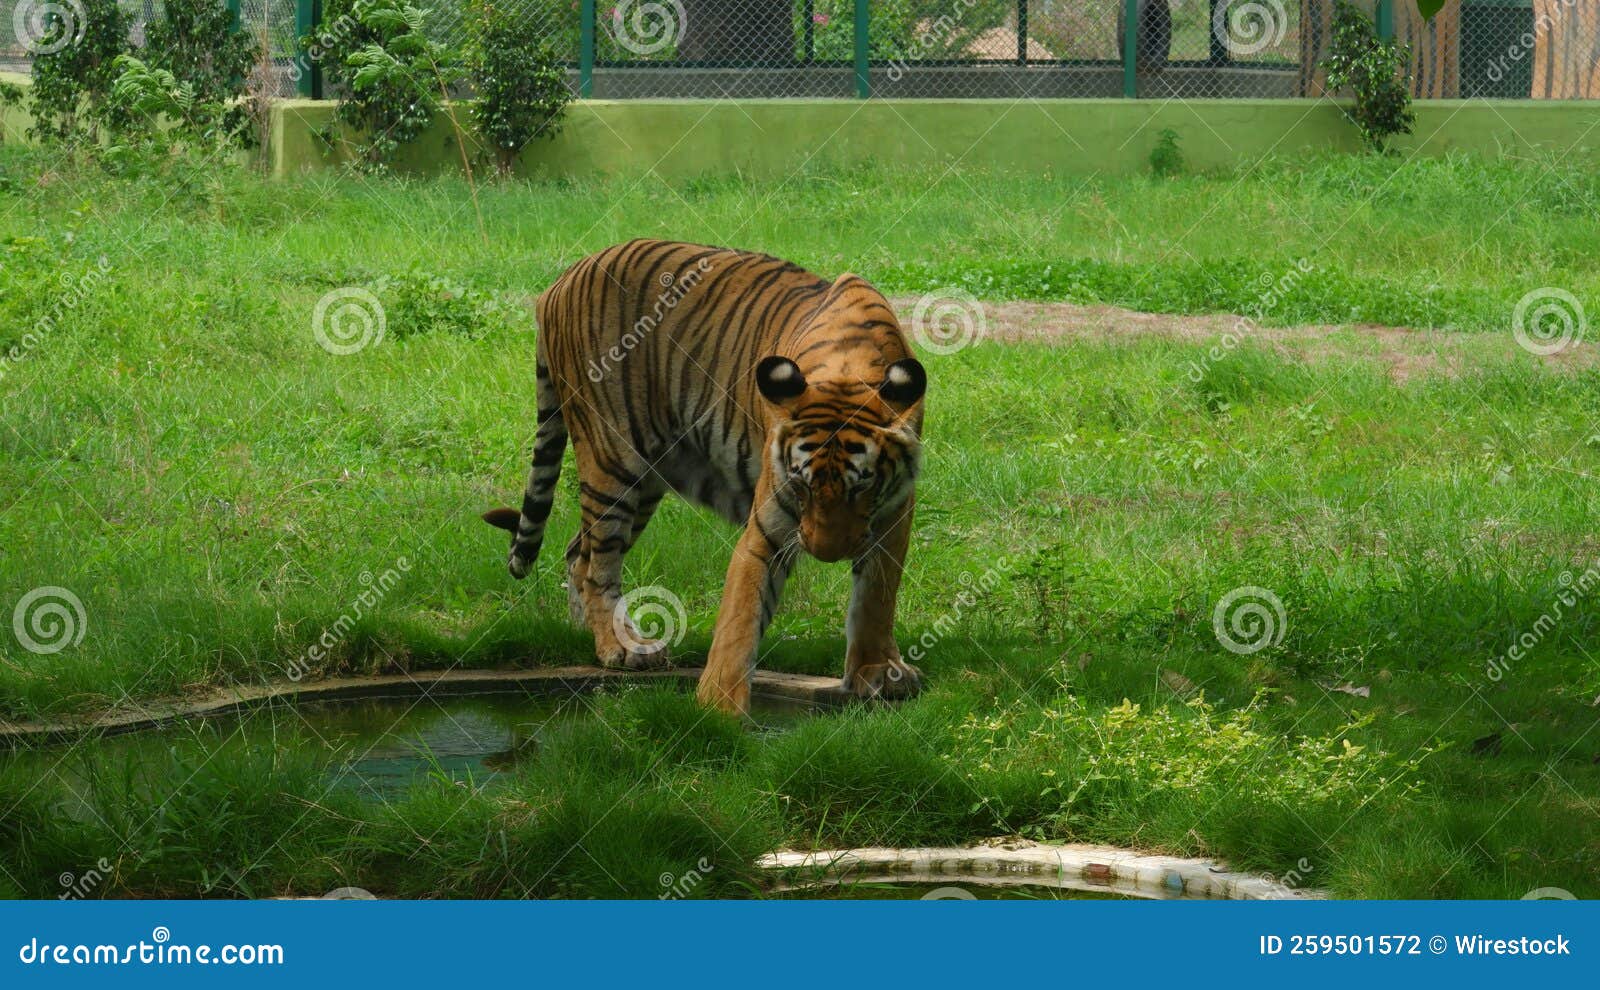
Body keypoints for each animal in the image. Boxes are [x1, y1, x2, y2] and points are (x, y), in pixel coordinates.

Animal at [481, 239, 927, 715]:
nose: (827, 554)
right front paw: (718, 710)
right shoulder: (769, 524)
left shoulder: (894, 512)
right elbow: (741, 616)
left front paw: (876, 671)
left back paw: (587, 635)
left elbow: (876, 597)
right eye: (802, 485)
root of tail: (561, 281)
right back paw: (621, 648)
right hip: (612, 459)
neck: (849, 367)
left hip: (647, 480)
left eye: (862, 486)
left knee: (576, 554)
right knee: (597, 563)